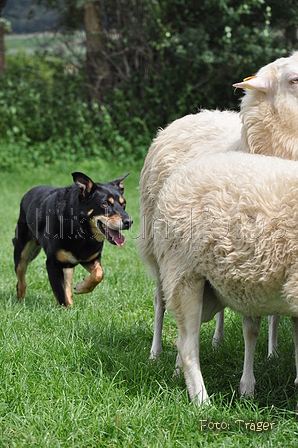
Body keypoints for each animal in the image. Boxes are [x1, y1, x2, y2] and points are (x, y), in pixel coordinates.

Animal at [12, 171, 132, 304]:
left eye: (123, 204)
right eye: (105, 204)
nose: (129, 222)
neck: (81, 232)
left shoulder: (90, 258)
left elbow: (99, 274)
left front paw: (82, 287)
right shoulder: (52, 264)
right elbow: (60, 293)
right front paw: (65, 307)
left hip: (67, 264)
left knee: (68, 286)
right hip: (23, 251)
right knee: (21, 275)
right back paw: (21, 298)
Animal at [139, 51, 298, 360]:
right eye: (294, 79)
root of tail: (198, 113)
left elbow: (274, 312)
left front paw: (272, 351)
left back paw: (218, 338)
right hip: (159, 246)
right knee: (159, 299)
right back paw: (155, 351)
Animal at [155, 152, 298, 404]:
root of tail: (178, 175)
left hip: (207, 291)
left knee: (182, 340)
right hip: (184, 274)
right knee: (188, 346)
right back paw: (203, 402)